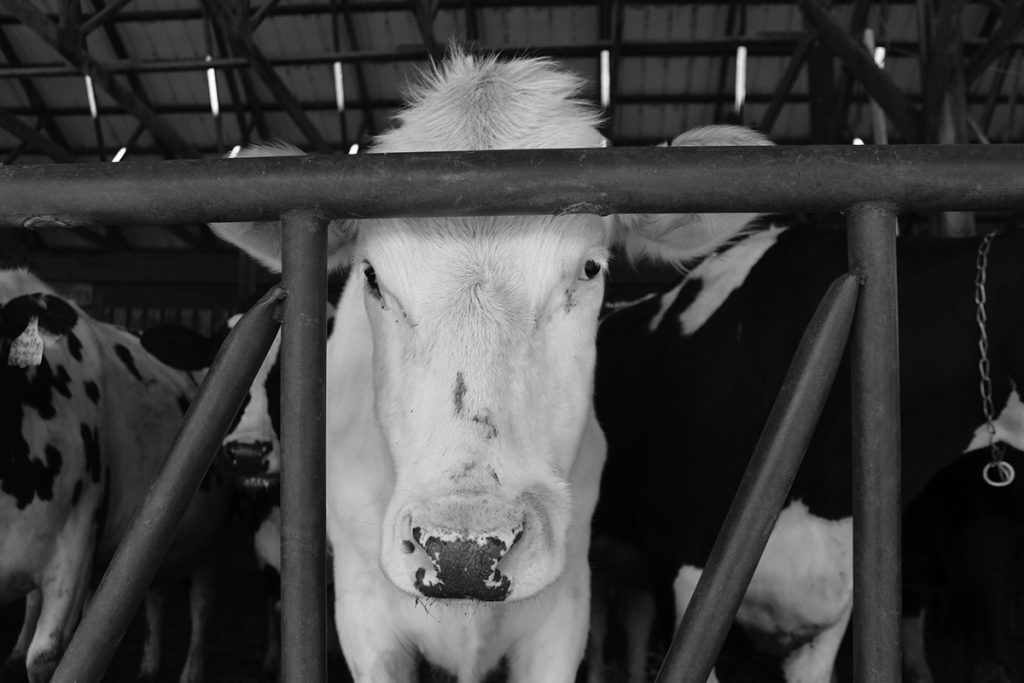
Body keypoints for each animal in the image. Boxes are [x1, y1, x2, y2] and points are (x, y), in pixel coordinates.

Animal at [0, 270, 231, 683]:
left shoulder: (74, 544)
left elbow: (45, 657)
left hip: (214, 536)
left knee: (201, 604)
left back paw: (190, 670)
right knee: (153, 593)